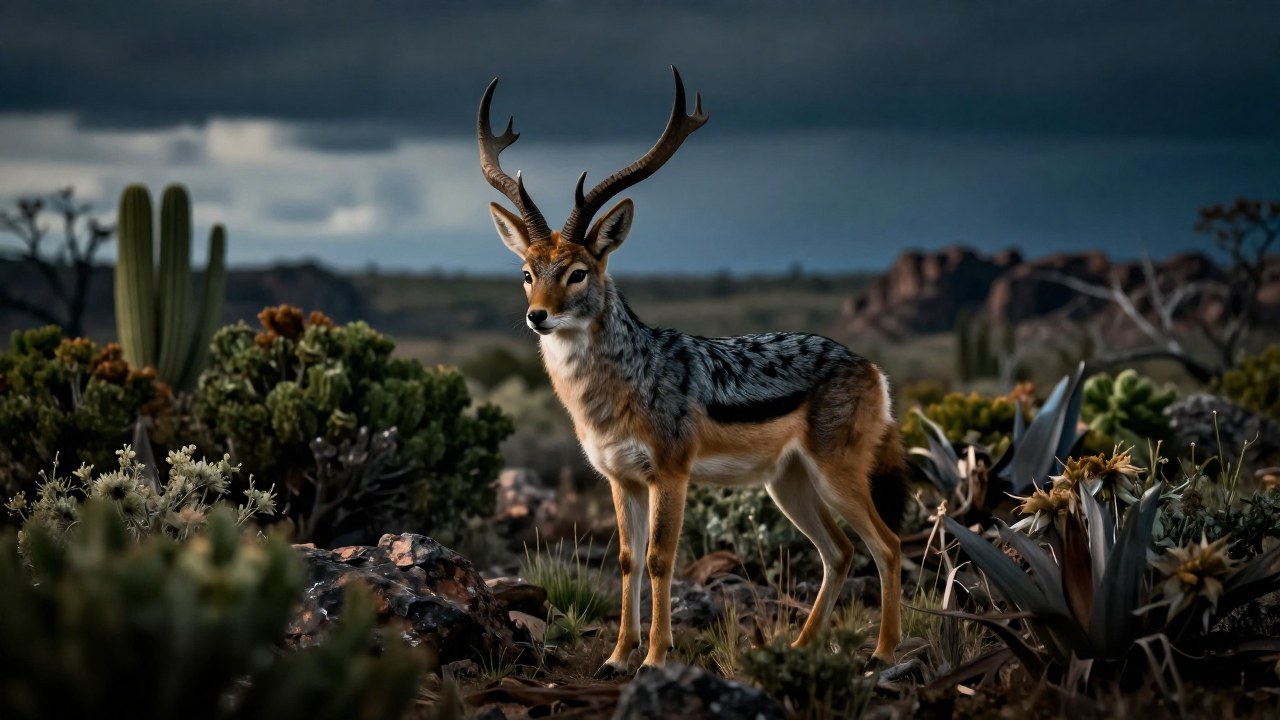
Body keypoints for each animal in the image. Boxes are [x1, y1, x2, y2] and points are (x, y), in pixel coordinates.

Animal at [477, 67, 906, 677]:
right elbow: (628, 562)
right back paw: (800, 649)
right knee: (840, 551)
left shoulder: (670, 473)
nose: (539, 316)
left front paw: (656, 658)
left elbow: (661, 560)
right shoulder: (621, 477)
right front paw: (616, 657)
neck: (614, 391)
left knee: (886, 546)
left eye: (579, 272)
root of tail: (871, 368)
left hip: (836, 475)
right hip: (787, 484)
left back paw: (883, 652)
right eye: (527, 272)